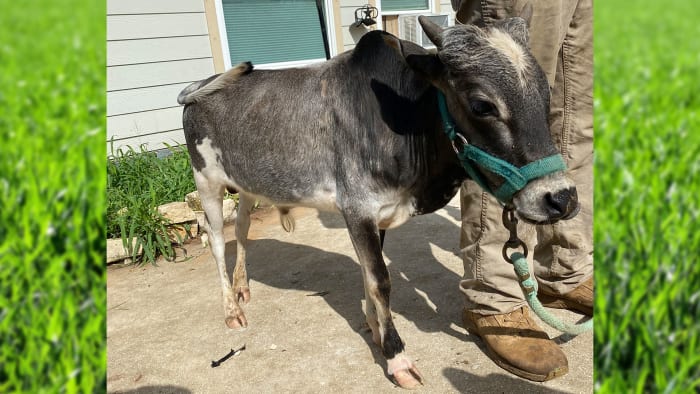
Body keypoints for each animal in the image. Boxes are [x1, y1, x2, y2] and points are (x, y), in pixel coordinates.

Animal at [178, 13, 576, 390]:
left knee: (243, 230)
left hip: (246, 186)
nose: (561, 198)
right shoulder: (358, 209)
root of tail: (199, 85)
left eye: (546, 95)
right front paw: (396, 357)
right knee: (217, 241)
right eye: (482, 105)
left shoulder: (374, 216)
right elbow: (379, 280)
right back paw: (231, 309)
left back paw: (243, 287)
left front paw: (374, 326)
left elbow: (369, 274)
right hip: (206, 182)